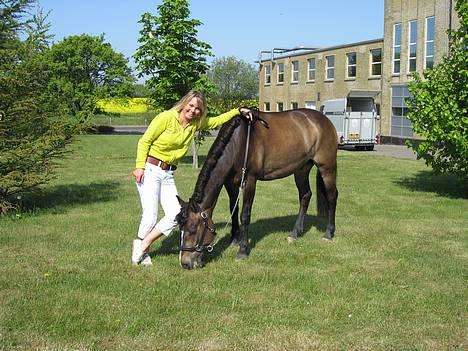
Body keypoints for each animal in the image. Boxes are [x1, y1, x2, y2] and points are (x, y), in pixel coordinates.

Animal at [177, 109, 338, 270]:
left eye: (192, 229)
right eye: (180, 229)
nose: (185, 263)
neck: (239, 142)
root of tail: (324, 120)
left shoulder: (250, 181)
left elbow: (244, 215)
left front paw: (242, 250)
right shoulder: (230, 183)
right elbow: (233, 209)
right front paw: (234, 239)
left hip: (327, 167)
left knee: (332, 196)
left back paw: (328, 234)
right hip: (301, 169)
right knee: (305, 195)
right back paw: (295, 233)